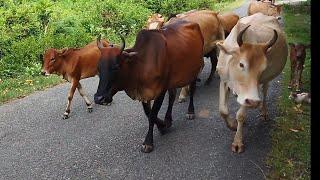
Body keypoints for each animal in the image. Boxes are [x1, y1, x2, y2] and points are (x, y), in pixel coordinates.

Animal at [94, 20, 202, 153]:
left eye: (116, 67)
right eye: (98, 68)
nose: (99, 98)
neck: (140, 65)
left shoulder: (161, 90)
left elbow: (152, 114)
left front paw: (148, 142)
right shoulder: (144, 93)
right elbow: (149, 113)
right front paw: (163, 125)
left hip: (194, 71)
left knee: (192, 90)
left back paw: (190, 111)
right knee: (172, 97)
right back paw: (168, 119)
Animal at [215, 13, 288, 153]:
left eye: (263, 68)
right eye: (241, 64)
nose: (254, 102)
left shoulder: (250, 94)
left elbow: (241, 115)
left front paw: (238, 141)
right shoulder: (223, 81)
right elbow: (223, 111)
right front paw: (232, 125)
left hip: (266, 81)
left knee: (265, 92)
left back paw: (264, 111)